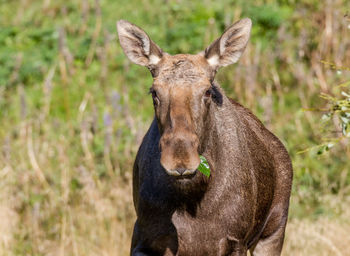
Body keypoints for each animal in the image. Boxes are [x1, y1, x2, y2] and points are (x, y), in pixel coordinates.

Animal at [117, 18, 292, 256]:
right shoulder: (143, 238)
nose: (180, 161)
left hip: (273, 230)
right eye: (154, 92)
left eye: (208, 91)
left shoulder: (235, 241)